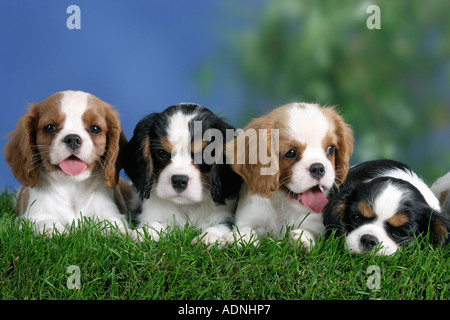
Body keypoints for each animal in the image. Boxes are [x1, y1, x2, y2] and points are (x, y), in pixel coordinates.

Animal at [3, 90, 134, 235]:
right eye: (49, 127)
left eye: (95, 129)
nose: (73, 139)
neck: (72, 187)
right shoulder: (33, 218)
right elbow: (47, 223)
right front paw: (58, 232)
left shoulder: (111, 214)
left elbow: (111, 225)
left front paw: (123, 233)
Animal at [122, 104, 243, 246]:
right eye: (161, 153)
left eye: (203, 155)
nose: (179, 181)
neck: (186, 206)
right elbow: (154, 223)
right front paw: (147, 233)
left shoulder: (224, 215)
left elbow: (218, 226)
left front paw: (210, 238)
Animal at [227, 102, 354, 250]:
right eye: (290, 153)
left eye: (330, 149)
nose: (318, 168)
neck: (284, 206)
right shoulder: (248, 216)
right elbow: (246, 227)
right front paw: (243, 236)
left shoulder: (318, 223)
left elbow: (313, 232)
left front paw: (303, 237)